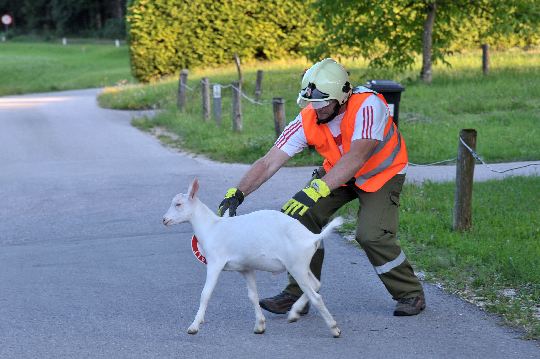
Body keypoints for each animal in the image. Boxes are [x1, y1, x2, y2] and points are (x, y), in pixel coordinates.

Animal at [162, 179, 344, 338]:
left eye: (178, 204)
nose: (164, 220)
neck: (212, 228)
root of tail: (312, 237)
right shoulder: (246, 268)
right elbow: (253, 295)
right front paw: (260, 325)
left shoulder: (215, 262)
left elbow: (205, 293)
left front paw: (194, 326)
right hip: (301, 266)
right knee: (315, 284)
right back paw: (294, 313)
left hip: (297, 266)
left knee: (315, 296)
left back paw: (334, 328)